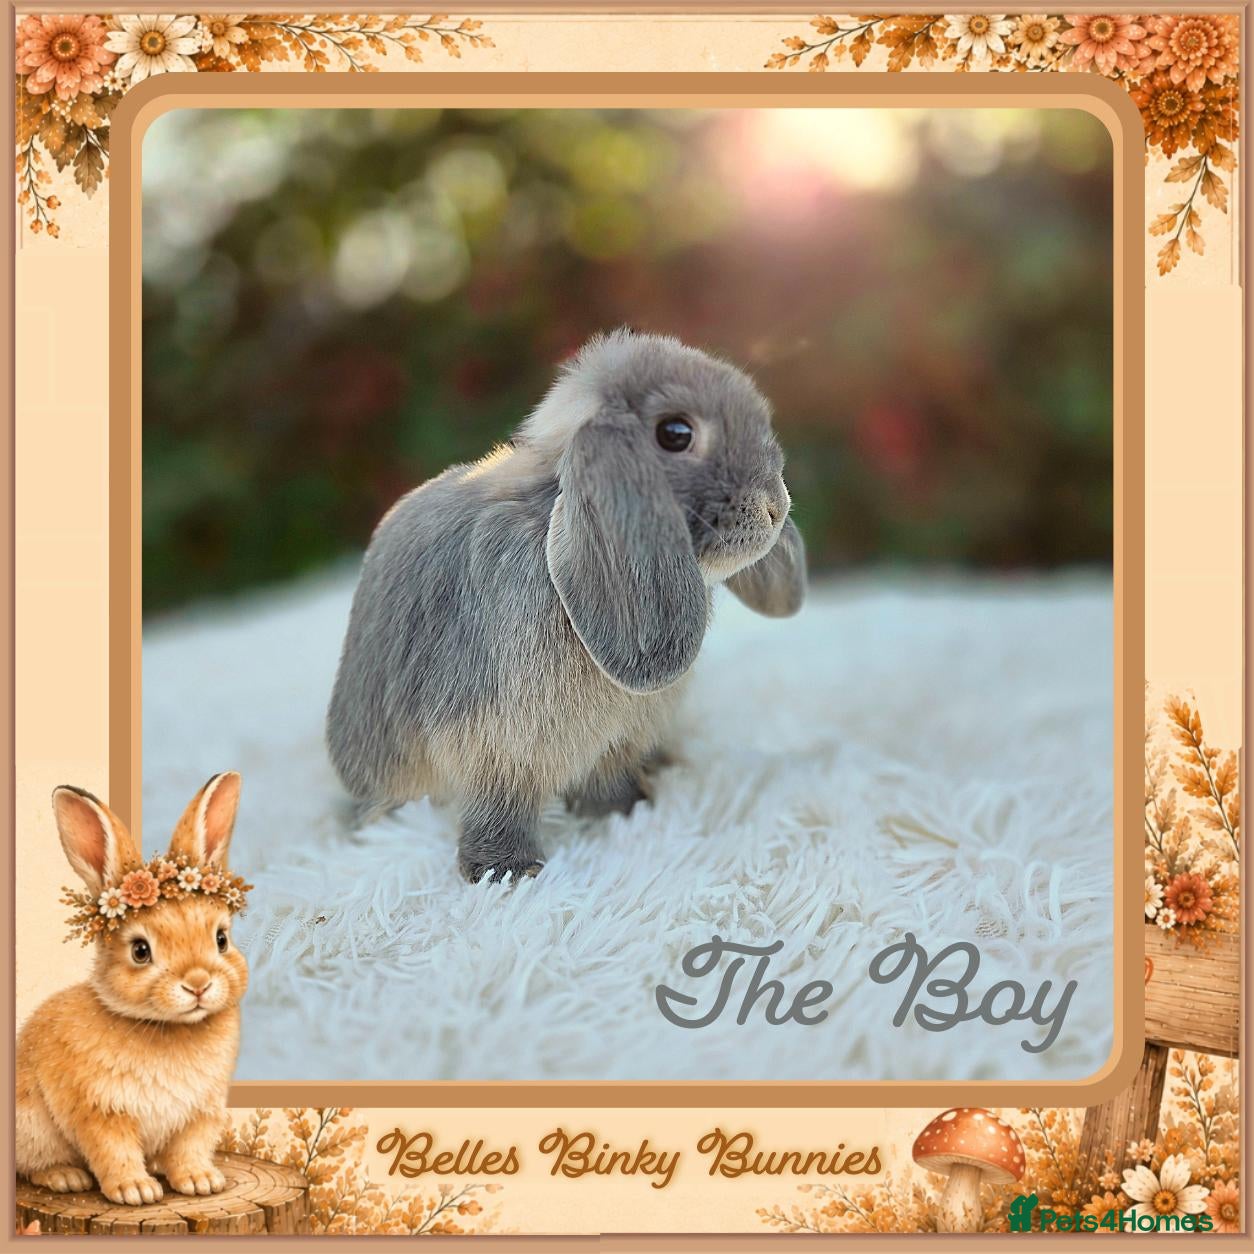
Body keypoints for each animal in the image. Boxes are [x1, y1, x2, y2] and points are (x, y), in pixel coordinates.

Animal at [16, 774, 249, 1206]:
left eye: (221, 939)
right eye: (141, 951)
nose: (198, 984)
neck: (167, 1028)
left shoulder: (200, 1113)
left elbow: (190, 1149)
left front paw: (201, 1182)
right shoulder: (101, 1111)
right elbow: (114, 1151)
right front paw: (135, 1191)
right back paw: (65, 1177)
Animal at [327, 329, 806, 882]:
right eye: (676, 433)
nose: (776, 506)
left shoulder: (613, 741)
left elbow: (607, 781)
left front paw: (628, 810)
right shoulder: (498, 748)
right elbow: (500, 806)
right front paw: (507, 872)